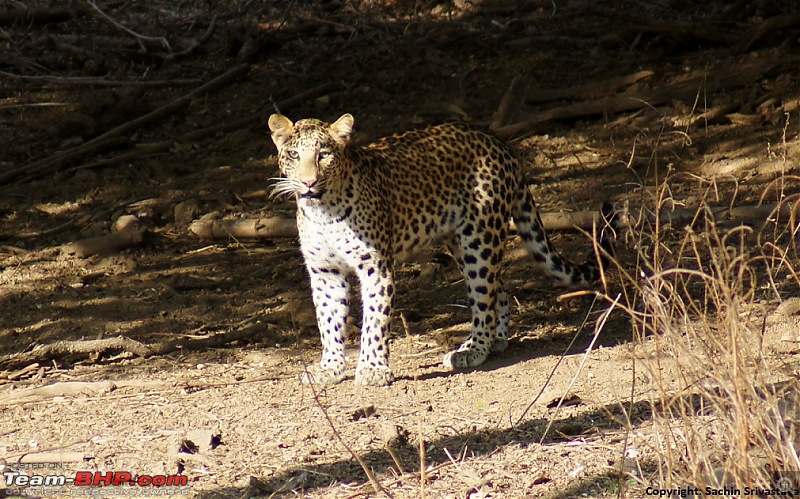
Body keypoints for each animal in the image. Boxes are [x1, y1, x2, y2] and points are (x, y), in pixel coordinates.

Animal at [266, 113, 616, 386]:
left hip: (479, 239)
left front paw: (373, 370)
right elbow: (329, 322)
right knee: (498, 289)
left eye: (324, 153)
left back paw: (474, 348)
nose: (309, 182)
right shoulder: (325, 272)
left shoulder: (375, 267)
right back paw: (497, 340)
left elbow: (375, 321)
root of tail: (499, 143)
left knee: (483, 294)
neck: (323, 209)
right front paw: (330, 368)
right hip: (460, 242)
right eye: (294, 154)